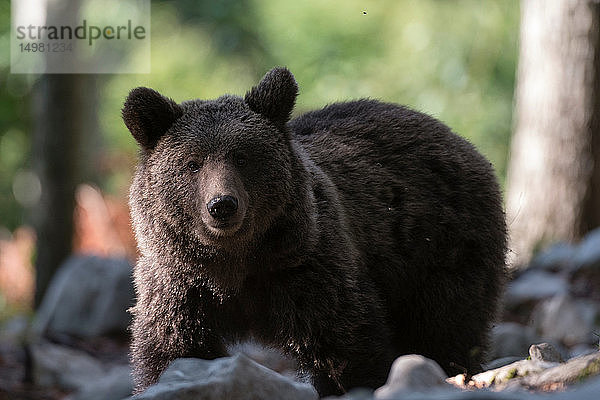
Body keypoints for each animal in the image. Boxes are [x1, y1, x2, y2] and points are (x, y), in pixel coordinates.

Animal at [122, 67, 506, 396]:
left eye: (242, 157)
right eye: (193, 163)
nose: (222, 205)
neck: (235, 262)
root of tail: (455, 137)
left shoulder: (307, 268)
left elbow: (344, 342)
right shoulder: (181, 283)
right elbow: (174, 349)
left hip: (439, 248)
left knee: (445, 325)